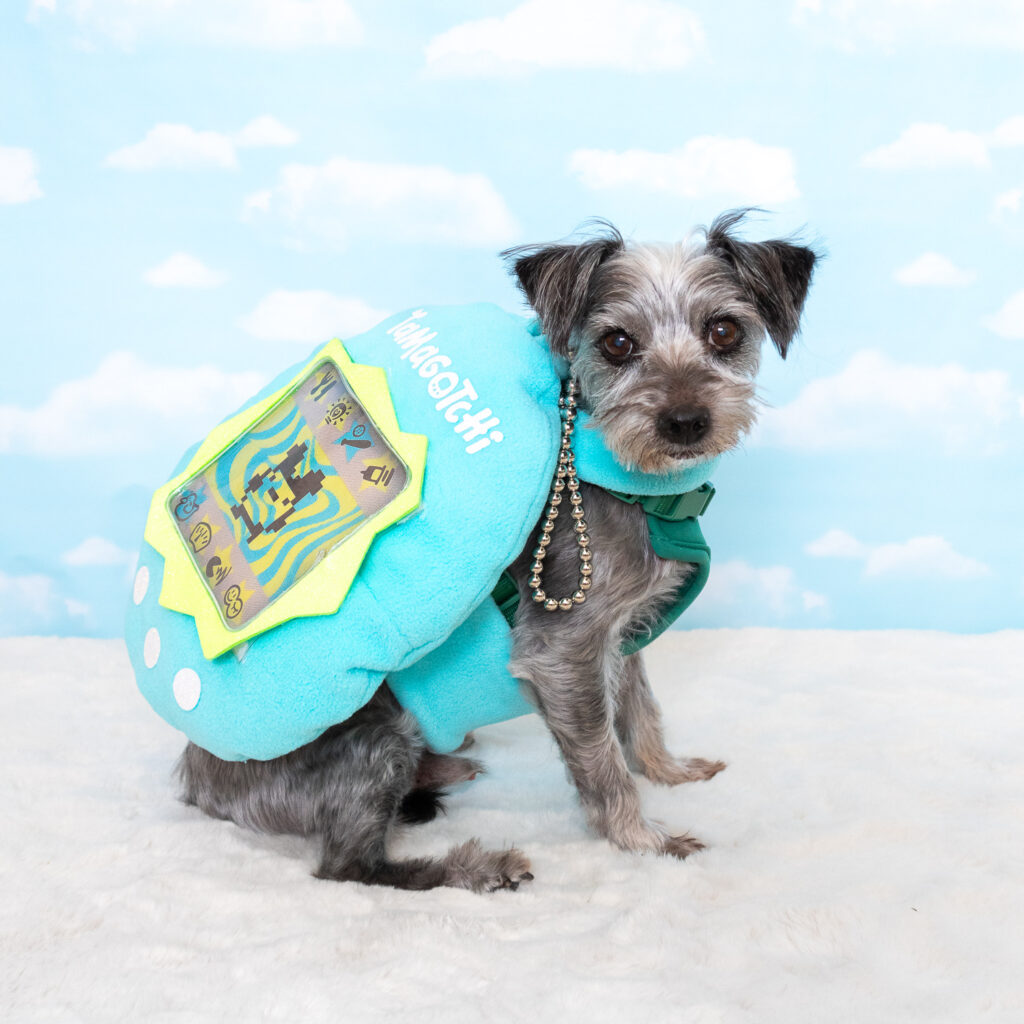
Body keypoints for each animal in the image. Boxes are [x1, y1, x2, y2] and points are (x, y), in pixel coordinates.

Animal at [176, 211, 815, 892]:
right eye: (617, 343)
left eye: (724, 330)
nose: (686, 421)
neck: (635, 487)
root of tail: (197, 784)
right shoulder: (564, 650)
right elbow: (602, 762)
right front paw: (643, 841)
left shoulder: (621, 633)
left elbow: (640, 707)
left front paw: (668, 770)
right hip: (374, 736)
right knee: (350, 868)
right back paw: (479, 866)